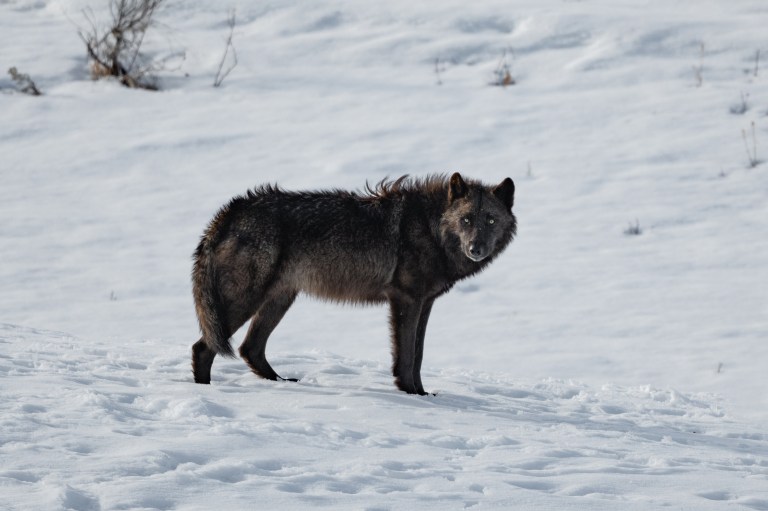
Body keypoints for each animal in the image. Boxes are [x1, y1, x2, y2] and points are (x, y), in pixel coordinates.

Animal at [191, 172, 516, 395]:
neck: (430, 227)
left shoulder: (425, 303)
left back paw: (281, 382)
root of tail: (231, 211)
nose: (476, 249)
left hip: (280, 299)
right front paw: (410, 393)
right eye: (466, 220)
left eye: (490, 220)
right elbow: (407, 355)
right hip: (245, 302)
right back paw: (205, 392)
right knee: (204, 348)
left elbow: (419, 354)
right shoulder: (406, 300)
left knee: (250, 348)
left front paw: (423, 393)